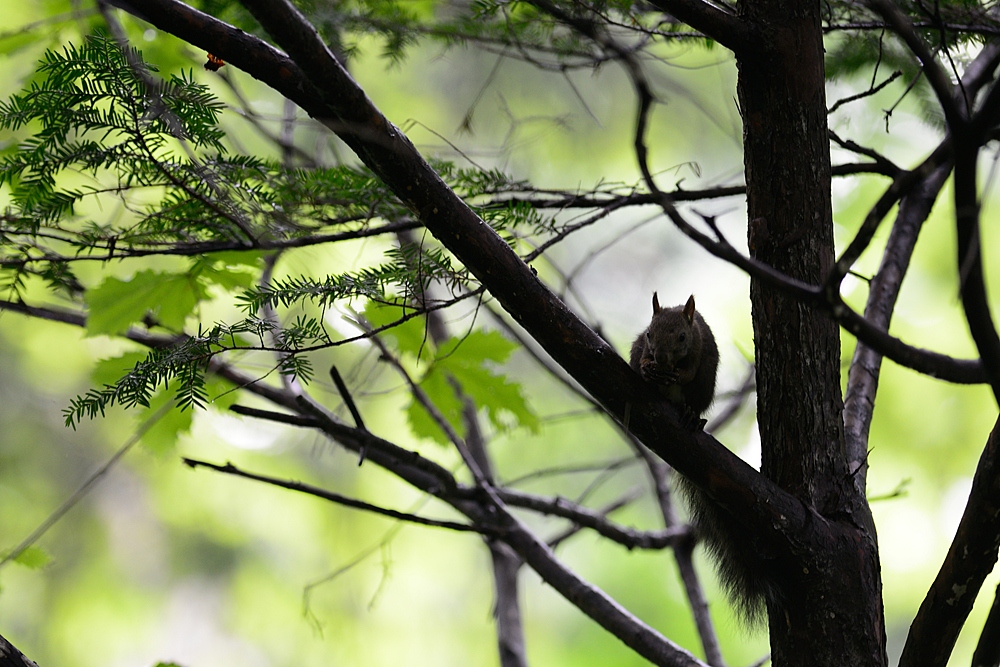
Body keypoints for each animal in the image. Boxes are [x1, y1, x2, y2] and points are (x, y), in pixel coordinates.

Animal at [632, 294, 772, 624]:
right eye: (649, 334)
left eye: (682, 337)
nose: (661, 359)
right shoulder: (642, 346)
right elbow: (642, 361)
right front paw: (647, 368)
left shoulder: (699, 350)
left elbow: (690, 369)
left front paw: (679, 373)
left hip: (706, 380)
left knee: (694, 398)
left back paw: (690, 415)